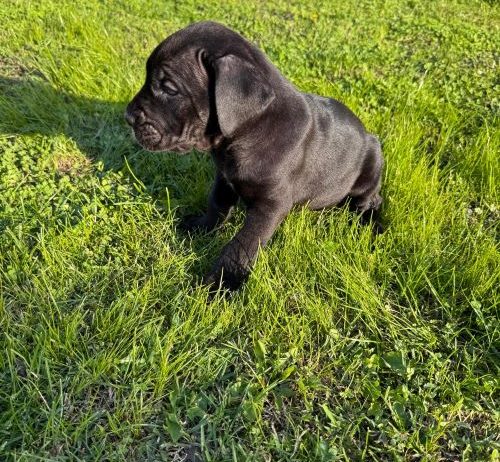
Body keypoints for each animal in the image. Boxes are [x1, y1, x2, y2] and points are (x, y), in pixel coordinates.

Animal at [125, 21, 382, 290]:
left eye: (169, 88)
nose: (128, 117)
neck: (245, 133)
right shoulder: (224, 179)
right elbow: (216, 205)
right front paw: (201, 227)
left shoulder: (271, 204)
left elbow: (242, 244)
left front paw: (221, 283)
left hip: (372, 162)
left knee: (371, 200)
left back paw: (371, 226)